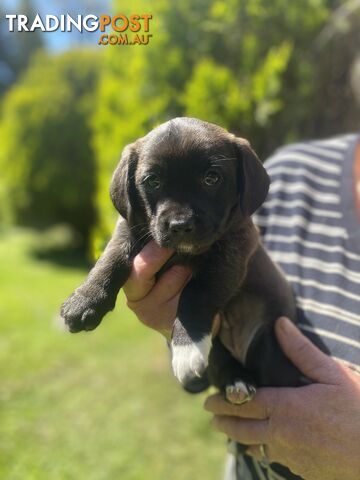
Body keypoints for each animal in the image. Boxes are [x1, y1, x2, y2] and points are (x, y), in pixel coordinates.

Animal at [60, 117, 306, 398]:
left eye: (211, 178)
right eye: (153, 181)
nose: (180, 225)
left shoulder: (231, 254)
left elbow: (195, 296)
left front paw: (187, 347)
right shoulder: (128, 228)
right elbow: (110, 259)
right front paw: (85, 300)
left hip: (269, 343)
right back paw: (236, 380)